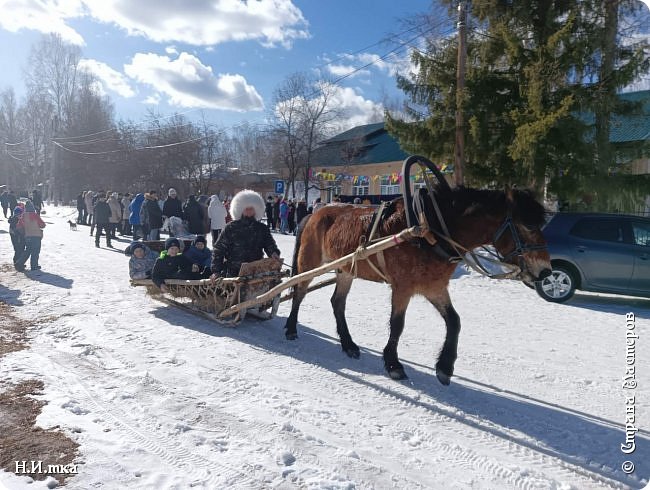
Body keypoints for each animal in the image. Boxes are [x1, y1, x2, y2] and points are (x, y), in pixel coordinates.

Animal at [280, 186, 548, 384]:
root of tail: (313, 214)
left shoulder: (434, 287)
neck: (431, 231)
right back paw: (292, 328)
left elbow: (455, 321)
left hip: (347, 269)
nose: (545, 270)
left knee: (337, 302)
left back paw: (348, 345)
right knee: (299, 292)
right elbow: (397, 325)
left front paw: (445, 367)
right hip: (310, 262)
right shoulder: (403, 287)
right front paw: (393, 364)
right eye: (528, 225)